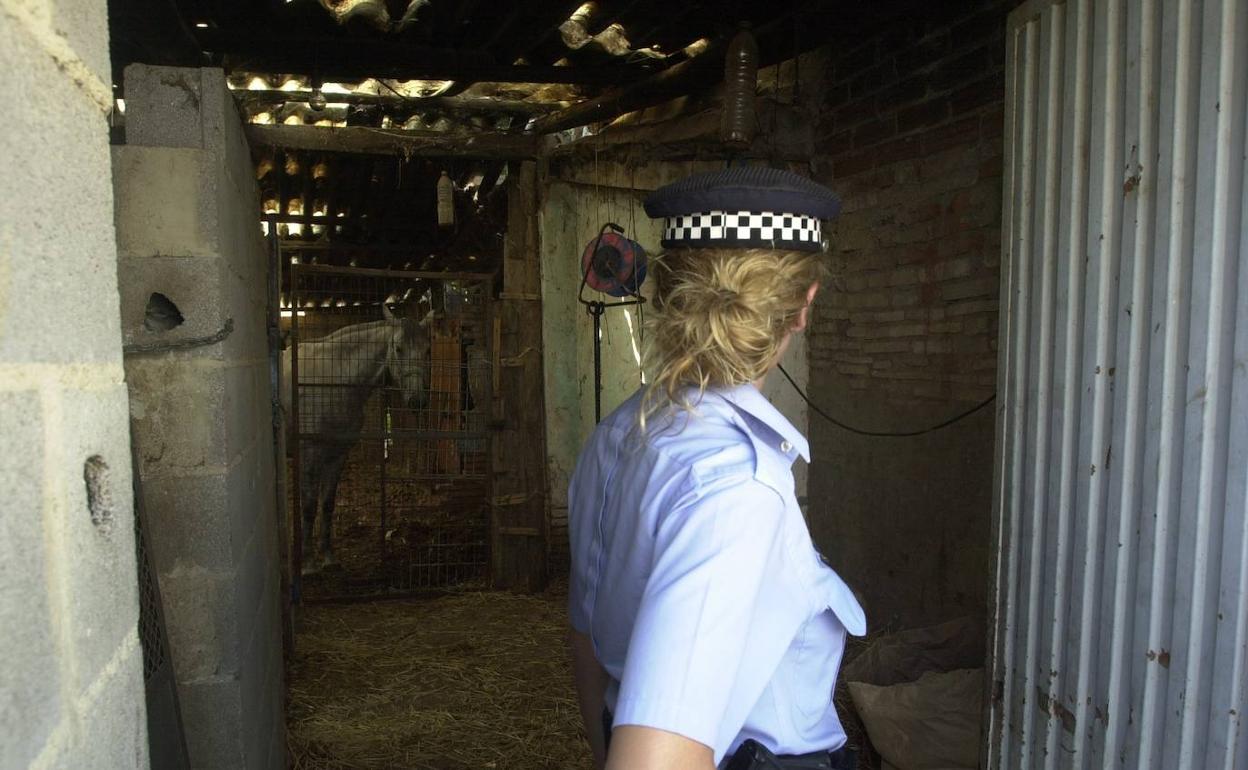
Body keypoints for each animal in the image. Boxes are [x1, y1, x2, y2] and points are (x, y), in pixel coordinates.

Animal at [280, 304, 431, 571]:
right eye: (398, 348)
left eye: (426, 350)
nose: (418, 401)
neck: (332, 381)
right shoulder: (309, 453)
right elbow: (308, 505)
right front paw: (308, 562)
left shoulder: (337, 454)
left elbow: (327, 504)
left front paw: (328, 557)